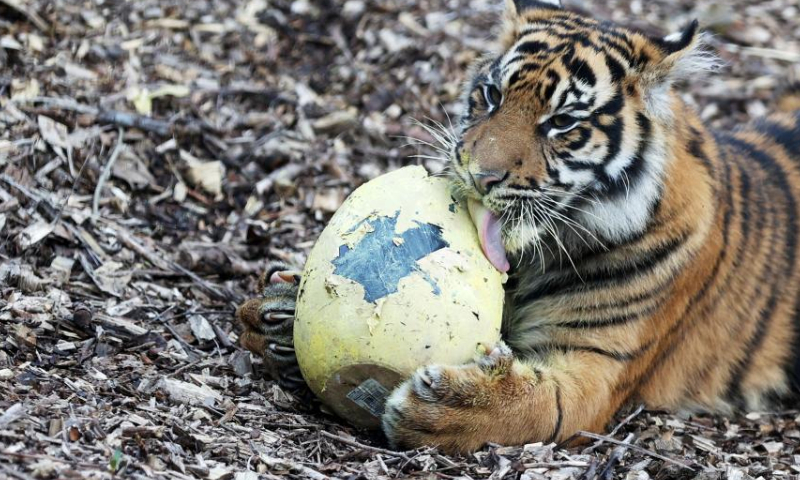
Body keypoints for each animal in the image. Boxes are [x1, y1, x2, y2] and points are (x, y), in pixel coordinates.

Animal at [238, 0, 800, 454]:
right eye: (491, 94)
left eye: (562, 123)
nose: (478, 174)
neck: (536, 257)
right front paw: (274, 314)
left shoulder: (597, 365)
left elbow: (539, 406)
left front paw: (449, 408)